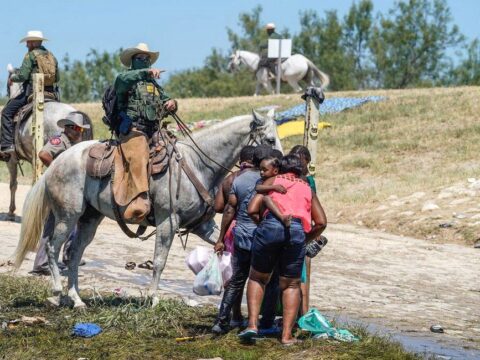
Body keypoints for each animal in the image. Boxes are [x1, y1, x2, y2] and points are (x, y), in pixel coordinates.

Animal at [13, 109, 282, 306]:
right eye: (270, 139)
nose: (279, 167)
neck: (197, 164)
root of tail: (58, 161)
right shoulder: (168, 222)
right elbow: (159, 260)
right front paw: (152, 298)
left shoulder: (203, 226)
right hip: (67, 216)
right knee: (52, 247)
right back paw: (58, 292)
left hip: (90, 218)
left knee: (75, 253)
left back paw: (77, 299)